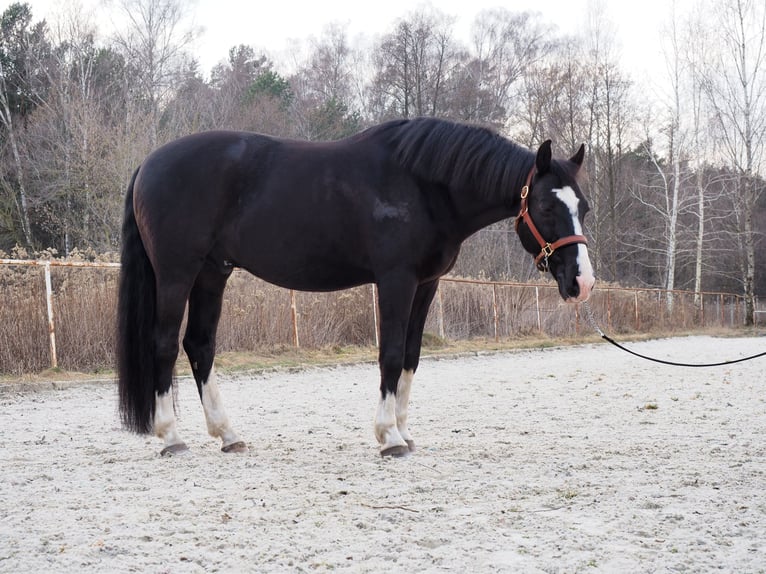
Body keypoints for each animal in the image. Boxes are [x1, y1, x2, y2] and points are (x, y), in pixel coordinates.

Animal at [117, 117, 595, 457]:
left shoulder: (426, 284)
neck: (423, 187)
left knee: (200, 345)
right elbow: (390, 354)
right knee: (165, 344)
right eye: (547, 205)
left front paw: (403, 430)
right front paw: (389, 438)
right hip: (177, 273)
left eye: (584, 207)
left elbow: (411, 357)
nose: (583, 281)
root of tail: (147, 164)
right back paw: (171, 438)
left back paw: (228, 434)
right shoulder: (396, 280)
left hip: (213, 273)